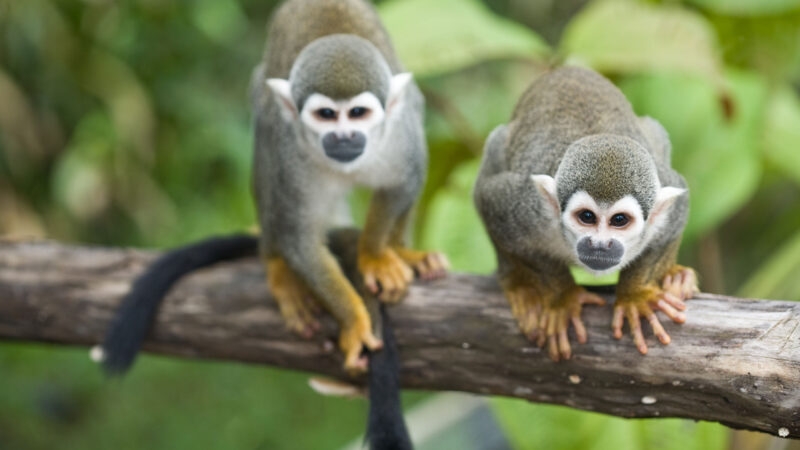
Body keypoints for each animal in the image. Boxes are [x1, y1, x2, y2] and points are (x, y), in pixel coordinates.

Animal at [473, 66, 699, 361]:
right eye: (587, 217)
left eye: (619, 220)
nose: (600, 244)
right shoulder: (523, 207)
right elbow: (490, 201)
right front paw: (562, 296)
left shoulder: (666, 199)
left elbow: (675, 218)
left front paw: (635, 295)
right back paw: (518, 283)